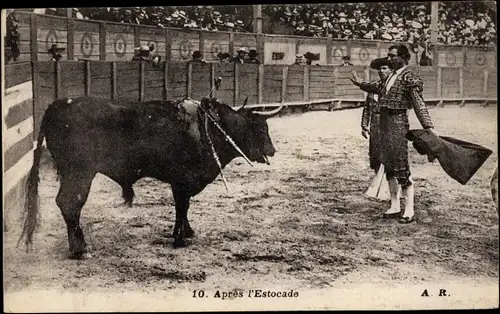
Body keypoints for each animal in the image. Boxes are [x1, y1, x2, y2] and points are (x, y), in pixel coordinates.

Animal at [19, 97, 282, 258]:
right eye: (260, 128)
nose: (272, 150)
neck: (211, 129)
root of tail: (57, 105)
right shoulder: (183, 181)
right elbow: (182, 206)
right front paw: (179, 238)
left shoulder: (181, 183)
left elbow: (183, 207)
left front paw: (186, 232)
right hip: (80, 172)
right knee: (70, 203)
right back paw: (80, 249)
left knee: (67, 204)